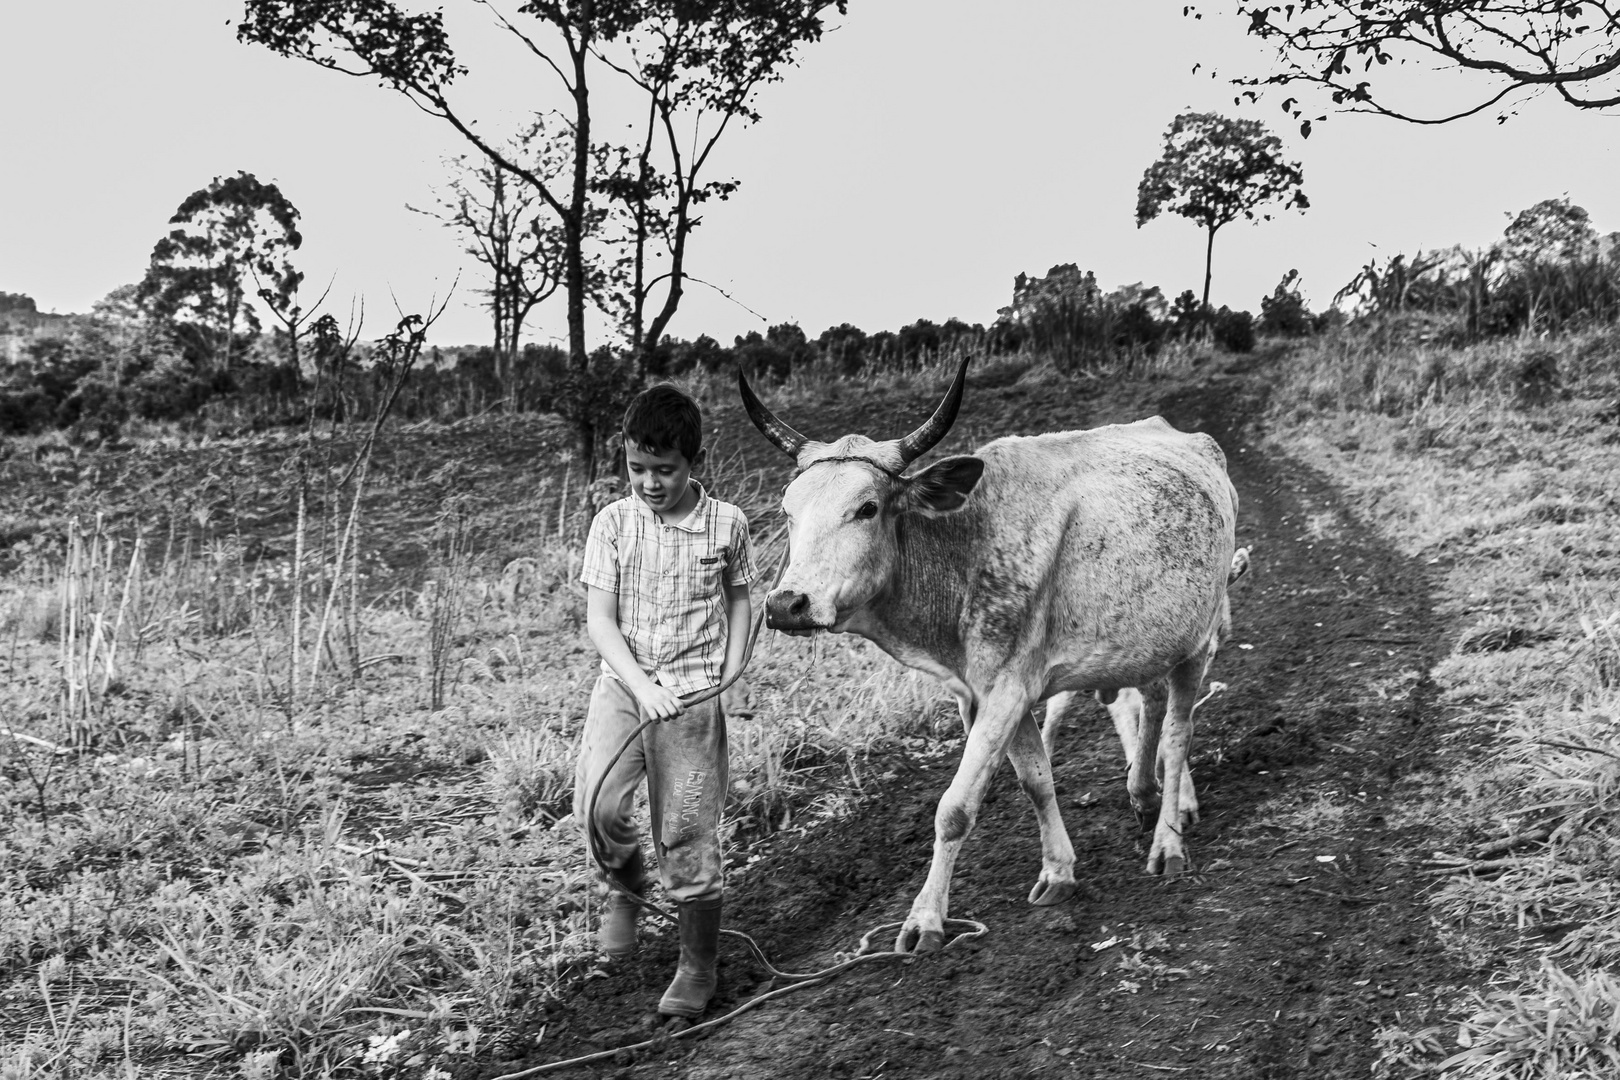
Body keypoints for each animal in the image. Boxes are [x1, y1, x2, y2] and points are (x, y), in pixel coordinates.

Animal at [741, 359, 1231, 952]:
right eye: (788, 510)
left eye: (867, 507)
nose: (786, 603)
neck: (964, 548)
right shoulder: (977, 695)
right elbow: (1035, 780)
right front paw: (1058, 872)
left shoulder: (1006, 690)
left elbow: (954, 809)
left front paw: (924, 920)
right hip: (1150, 641)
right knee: (1151, 704)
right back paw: (1143, 791)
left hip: (1199, 641)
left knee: (1180, 733)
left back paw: (1169, 840)